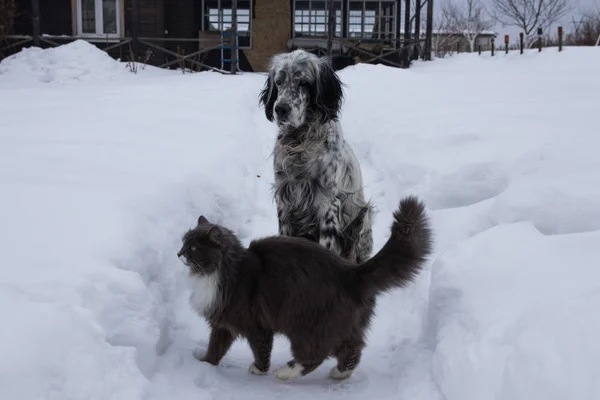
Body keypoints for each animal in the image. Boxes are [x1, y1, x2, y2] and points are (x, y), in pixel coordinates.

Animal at [260, 49, 372, 262]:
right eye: (278, 82)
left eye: (303, 82)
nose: (280, 109)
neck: (300, 141)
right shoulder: (285, 199)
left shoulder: (327, 203)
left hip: (362, 218)